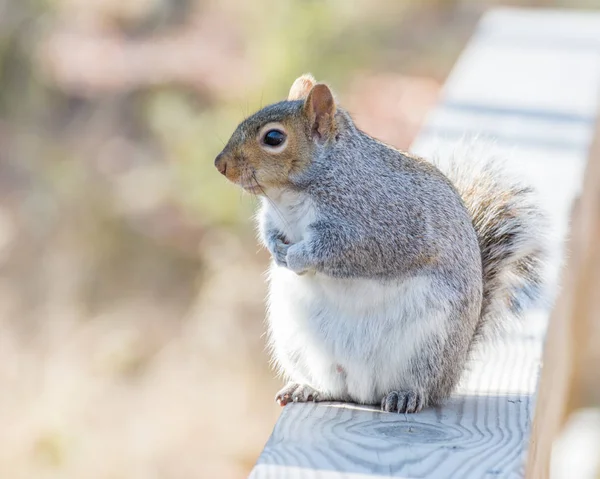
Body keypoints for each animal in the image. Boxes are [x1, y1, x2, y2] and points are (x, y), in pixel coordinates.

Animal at [213, 74, 548, 412]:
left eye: (273, 138)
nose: (220, 164)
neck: (291, 194)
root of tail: (362, 392)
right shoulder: (273, 216)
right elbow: (267, 229)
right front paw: (276, 250)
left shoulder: (379, 228)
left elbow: (338, 250)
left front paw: (295, 256)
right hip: (295, 341)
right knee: (331, 387)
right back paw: (307, 388)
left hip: (429, 344)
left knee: (422, 384)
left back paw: (406, 395)